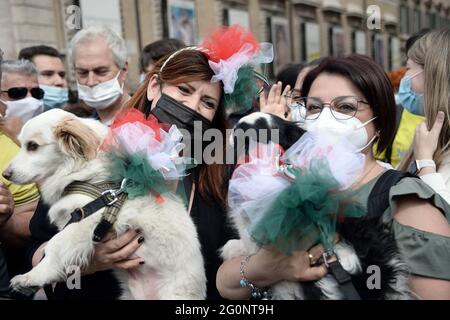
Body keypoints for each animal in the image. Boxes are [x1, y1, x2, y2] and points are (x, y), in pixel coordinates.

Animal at [3, 109, 206, 298]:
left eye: (33, 146)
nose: (5, 174)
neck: (86, 176)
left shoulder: (86, 220)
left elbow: (54, 246)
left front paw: (33, 277)